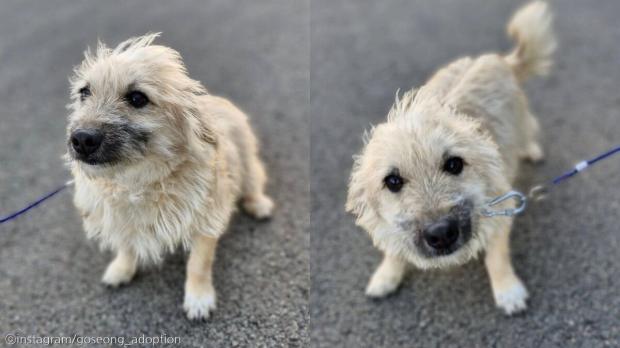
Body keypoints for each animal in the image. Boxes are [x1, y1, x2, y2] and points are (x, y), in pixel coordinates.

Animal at [65, 33, 274, 320]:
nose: (81, 139)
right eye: (84, 93)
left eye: (137, 98)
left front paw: (198, 298)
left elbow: (198, 263)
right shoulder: (121, 219)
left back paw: (259, 204)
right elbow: (126, 246)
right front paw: (121, 268)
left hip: (247, 160)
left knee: (253, 183)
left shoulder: (206, 217)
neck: (136, 179)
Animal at [346, 0, 556, 316]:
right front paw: (386, 276)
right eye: (392, 181)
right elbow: (394, 250)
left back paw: (530, 149)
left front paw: (507, 290)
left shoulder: (502, 209)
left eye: (454, 164)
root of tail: (499, 60)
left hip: (519, 118)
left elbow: (496, 257)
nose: (441, 233)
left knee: (529, 126)